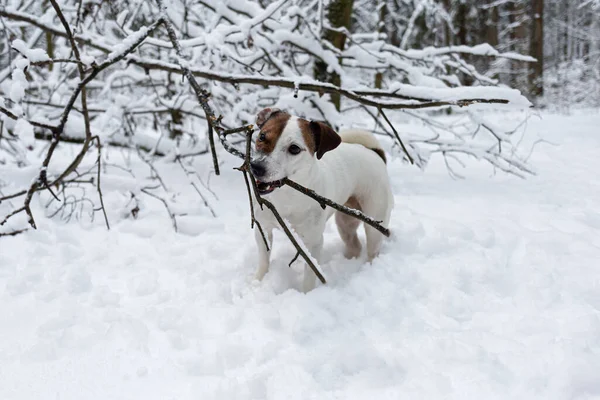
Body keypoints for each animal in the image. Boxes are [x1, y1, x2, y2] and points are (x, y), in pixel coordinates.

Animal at [248, 108, 394, 292]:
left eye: (294, 148)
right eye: (262, 137)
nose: (257, 167)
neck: (287, 197)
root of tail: (374, 153)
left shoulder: (313, 242)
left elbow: (311, 274)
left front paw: (307, 294)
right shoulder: (262, 229)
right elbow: (263, 260)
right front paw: (257, 282)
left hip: (375, 221)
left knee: (373, 247)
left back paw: (369, 268)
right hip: (345, 221)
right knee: (354, 244)